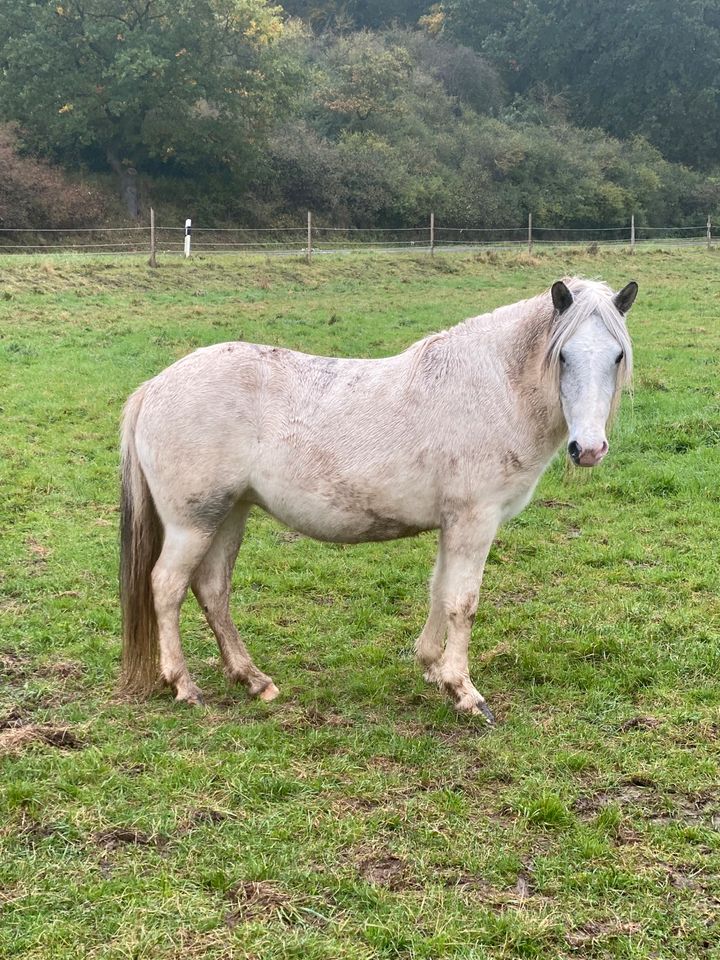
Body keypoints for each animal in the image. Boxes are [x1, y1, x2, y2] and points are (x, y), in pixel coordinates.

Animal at [121, 278, 640, 720]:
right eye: (564, 355)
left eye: (617, 356)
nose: (588, 448)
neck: (492, 389)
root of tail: (154, 387)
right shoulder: (474, 521)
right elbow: (462, 602)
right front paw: (464, 691)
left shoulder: (453, 524)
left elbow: (439, 592)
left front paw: (432, 668)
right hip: (194, 522)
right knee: (167, 586)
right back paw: (184, 685)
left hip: (229, 513)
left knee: (212, 590)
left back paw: (253, 679)